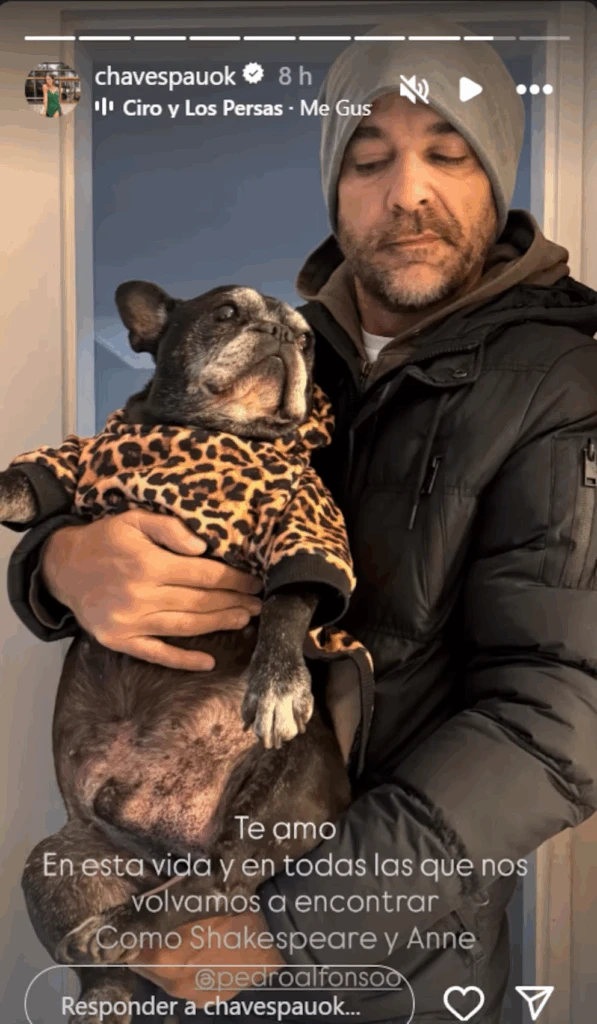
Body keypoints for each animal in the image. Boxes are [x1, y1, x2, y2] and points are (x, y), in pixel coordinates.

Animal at [0, 282, 373, 1024]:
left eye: (307, 340)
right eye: (227, 313)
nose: (283, 334)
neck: (215, 433)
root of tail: (167, 854)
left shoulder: (306, 522)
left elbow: (290, 598)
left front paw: (279, 683)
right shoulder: (80, 461)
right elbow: (35, 478)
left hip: (279, 796)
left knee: (219, 883)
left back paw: (119, 926)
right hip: (58, 860)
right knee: (113, 962)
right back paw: (103, 983)